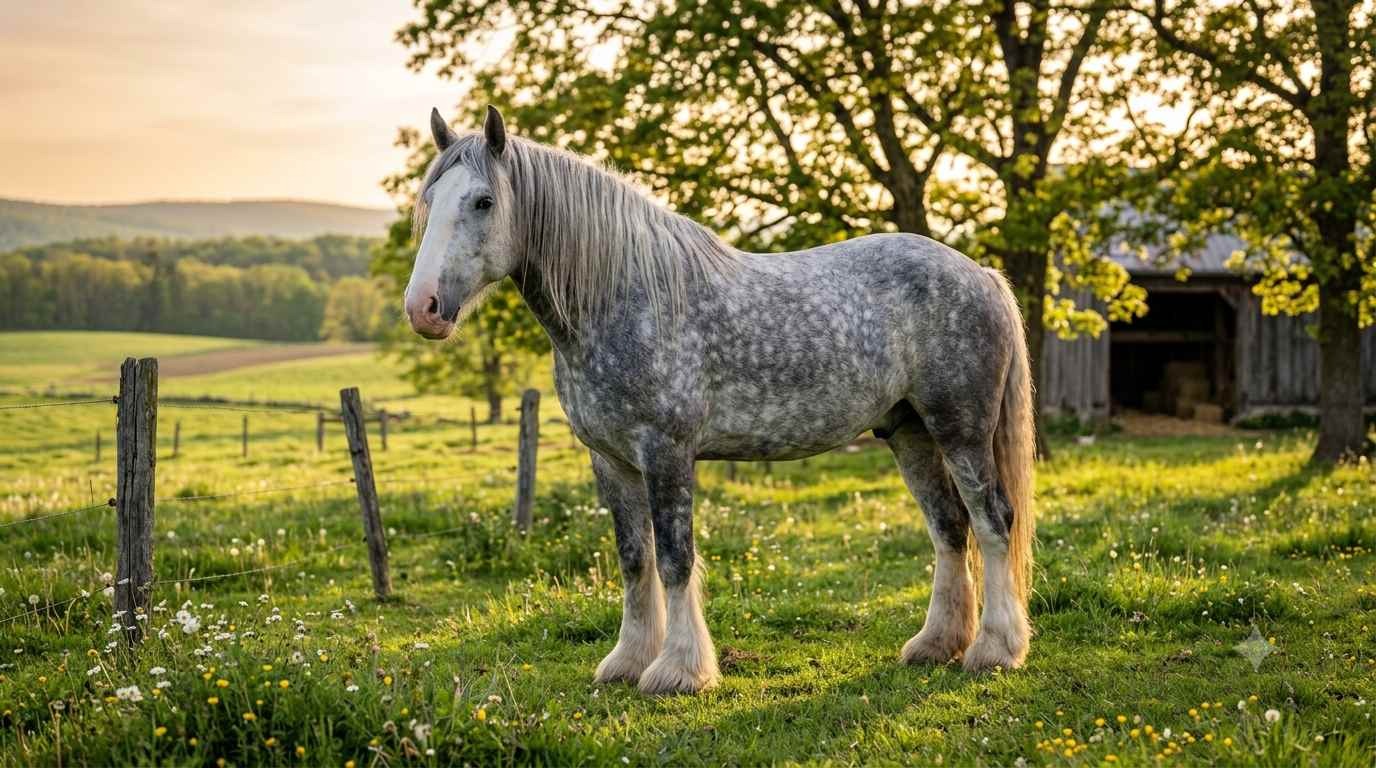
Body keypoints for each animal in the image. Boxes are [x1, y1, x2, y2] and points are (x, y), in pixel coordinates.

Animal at [403, 106, 1035, 695]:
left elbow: (674, 557)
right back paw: (937, 645)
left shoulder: (666, 451)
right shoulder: (610, 460)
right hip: (909, 432)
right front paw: (628, 661)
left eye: (484, 201)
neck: (625, 297)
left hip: (961, 430)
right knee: (950, 527)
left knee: (993, 521)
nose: (423, 308)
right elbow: (634, 559)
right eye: (430, 199)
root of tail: (978, 272)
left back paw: (995, 650)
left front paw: (678, 670)